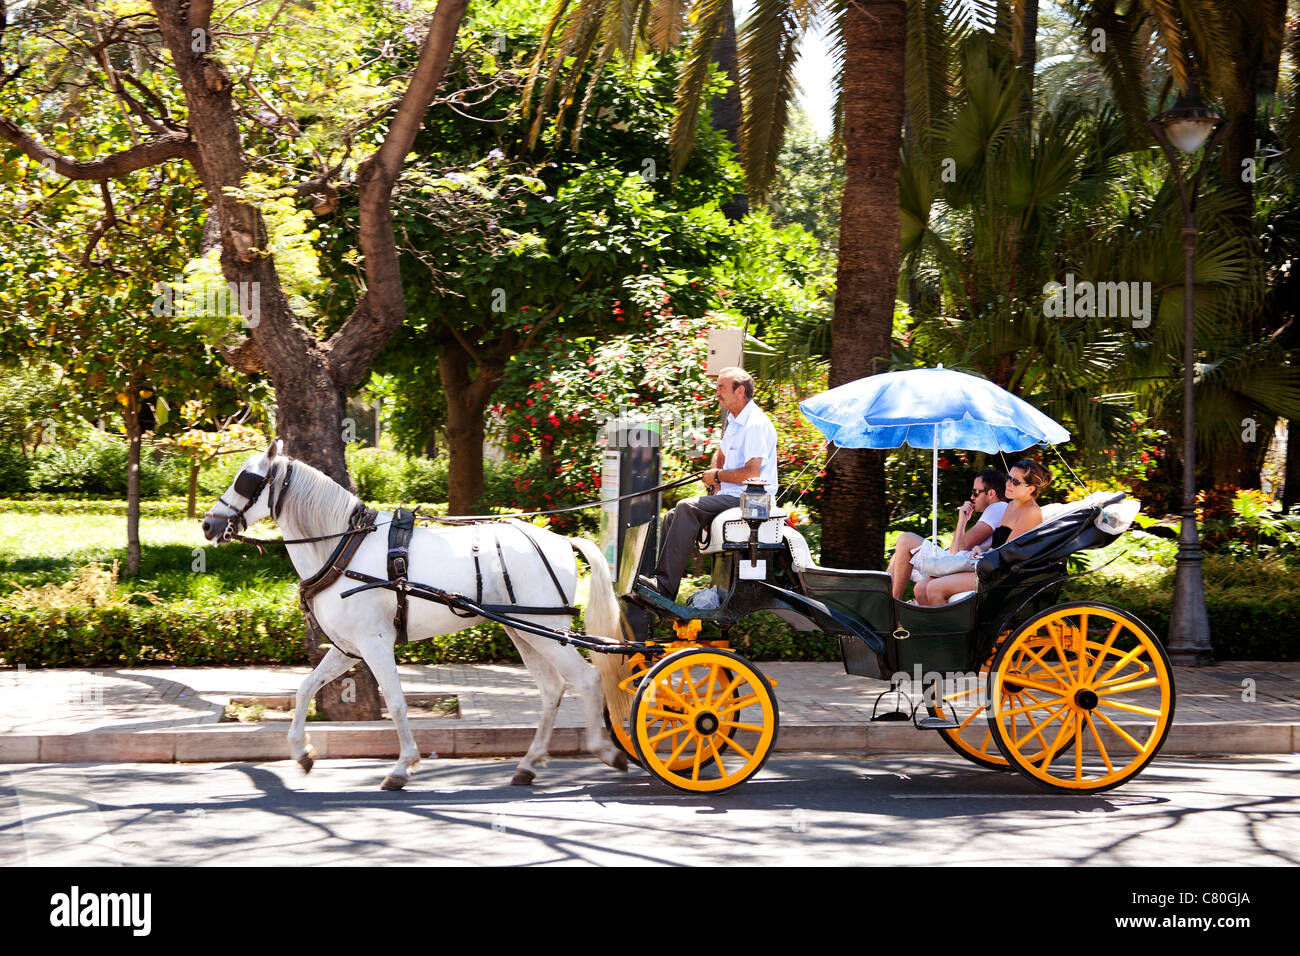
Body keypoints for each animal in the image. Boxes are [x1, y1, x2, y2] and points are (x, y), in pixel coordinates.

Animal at [198, 442, 629, 790]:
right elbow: (305, 688)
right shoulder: (348, 648)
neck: (343, 548)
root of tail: (561, 540)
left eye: (246, 480)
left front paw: (402, 766)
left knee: (587, 679)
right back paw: (529, 762)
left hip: (546, 631)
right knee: (552, 689)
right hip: (523, 632)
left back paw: (605, 749)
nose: (208, 524)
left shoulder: (375, 644)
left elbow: (396, 701)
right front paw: (302, 752)